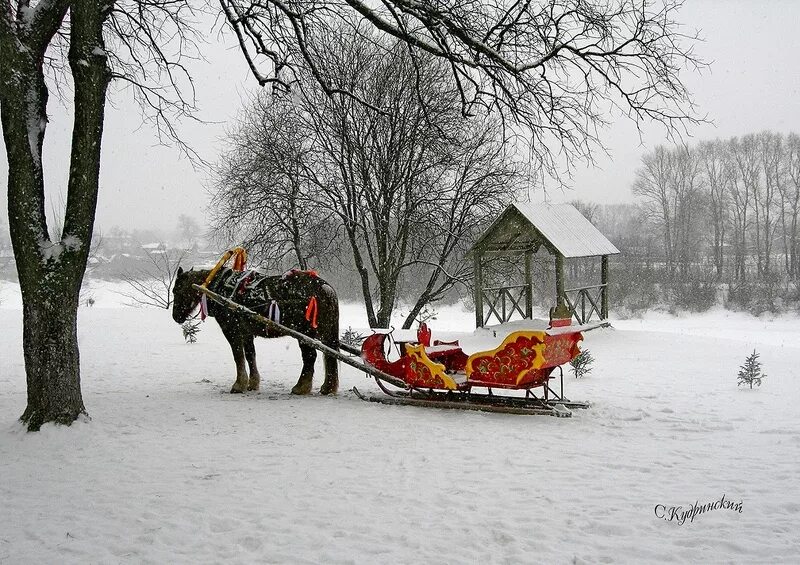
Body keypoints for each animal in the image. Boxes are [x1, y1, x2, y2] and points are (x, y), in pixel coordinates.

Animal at [171, 266, 338, 394]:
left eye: (176, 290)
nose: (176, 317)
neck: (219, 288)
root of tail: (324, 287)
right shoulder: (246, 332)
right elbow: (250, 355)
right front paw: (252, 383)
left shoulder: (231, 330)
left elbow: (238, 356)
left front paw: (239, 385)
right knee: (327, 355)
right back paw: (326, 387)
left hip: (305, 333)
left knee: (310, 357)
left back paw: (301, 387)